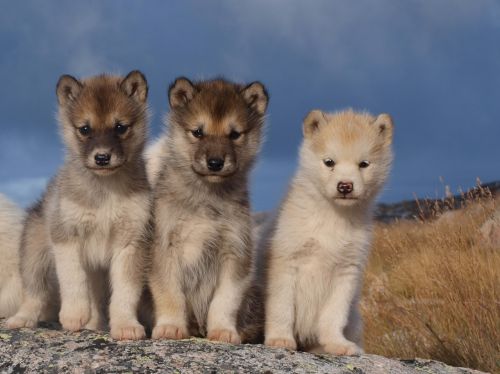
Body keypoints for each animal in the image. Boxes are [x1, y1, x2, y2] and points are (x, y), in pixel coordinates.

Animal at [147, 77, 268, 344]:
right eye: (198, 132)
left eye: (234, 134)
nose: (215, 163)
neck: (206, 198)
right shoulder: (164, 247)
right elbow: (170, 294)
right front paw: (171, 327)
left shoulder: (235, 252)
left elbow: (225, 301)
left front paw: (223, 331)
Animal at [266, 109, 394, 356]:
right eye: (329, 162)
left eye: (364, 164)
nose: (345, 186)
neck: (332, 217)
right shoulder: (286, 260)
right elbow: (281, 307)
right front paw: (279, 339)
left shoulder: (347, 270)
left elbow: (334, 315)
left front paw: (338, 344)